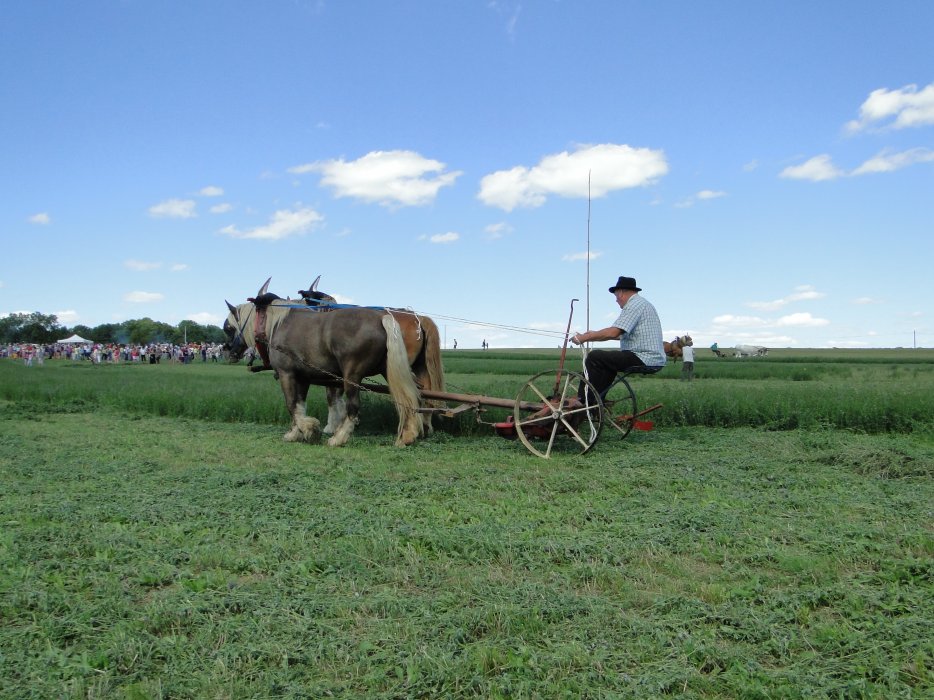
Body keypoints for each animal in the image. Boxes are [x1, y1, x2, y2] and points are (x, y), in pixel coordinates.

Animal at [225, 278, 422, 448]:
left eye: (228, 328)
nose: (230, 352)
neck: (278, 324)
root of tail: (382, 319)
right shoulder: (302, 378)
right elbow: (300, 405)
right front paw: (296, 432)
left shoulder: (286, 374)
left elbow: (291, 404)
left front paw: (309, 428)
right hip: (389, 372)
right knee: (408, 398)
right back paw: (408, 435)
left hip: (351, 376)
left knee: (353, 407)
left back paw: (339, 438)